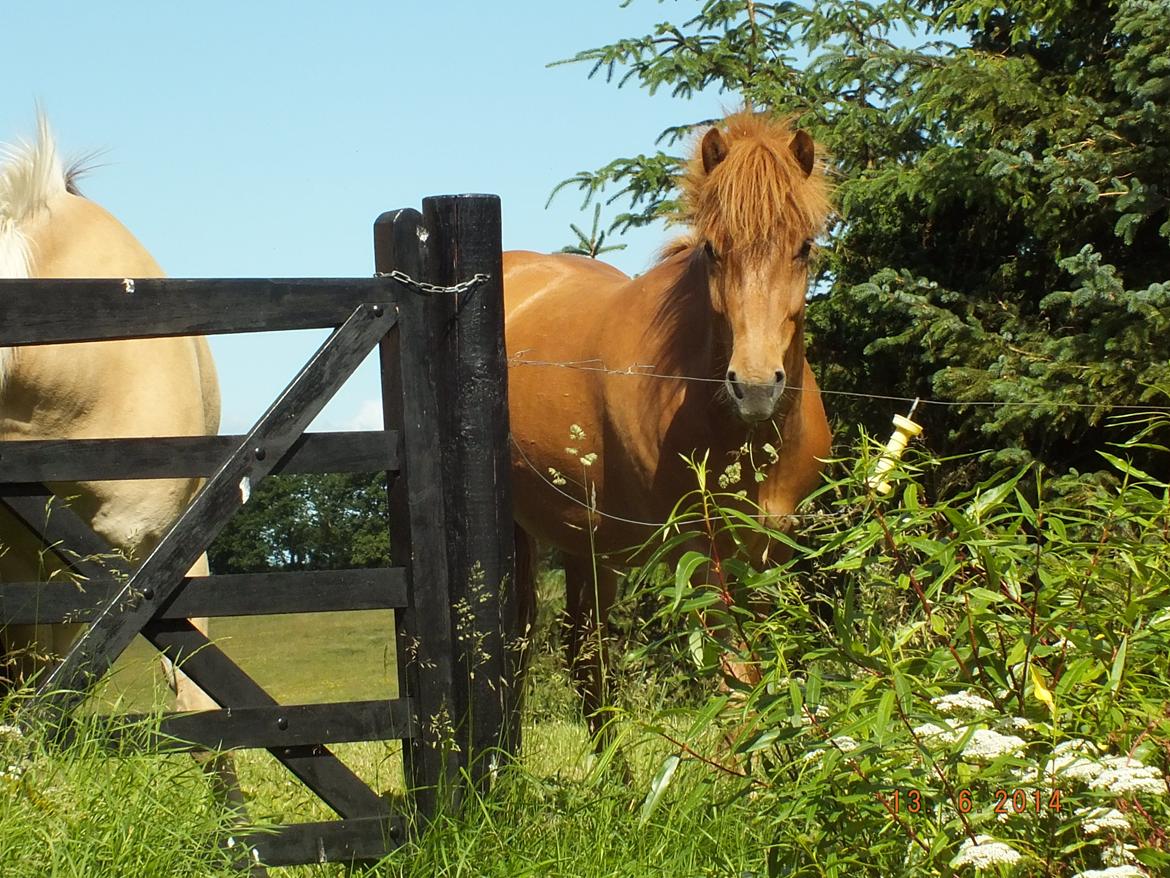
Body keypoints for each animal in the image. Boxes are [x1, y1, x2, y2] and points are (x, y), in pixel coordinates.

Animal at [507, 113, 837, 730]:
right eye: (712, 249)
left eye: (804, 248)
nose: (755, 385)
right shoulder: (701, 558)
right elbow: (737, 687)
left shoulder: (769, 554)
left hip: (588, 544)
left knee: (585, 655)